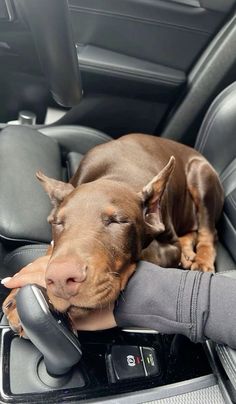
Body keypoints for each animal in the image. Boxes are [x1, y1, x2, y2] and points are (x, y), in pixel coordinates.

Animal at [2, 134, 224, 330]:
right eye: (57, 222)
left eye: (118, 221)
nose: (61, 280)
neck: (116, 175)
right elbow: (51, 249)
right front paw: (15, 300)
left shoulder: (168, 244)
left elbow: (144, 252)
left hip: (201, 174)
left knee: (208, 231)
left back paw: (202, 260)